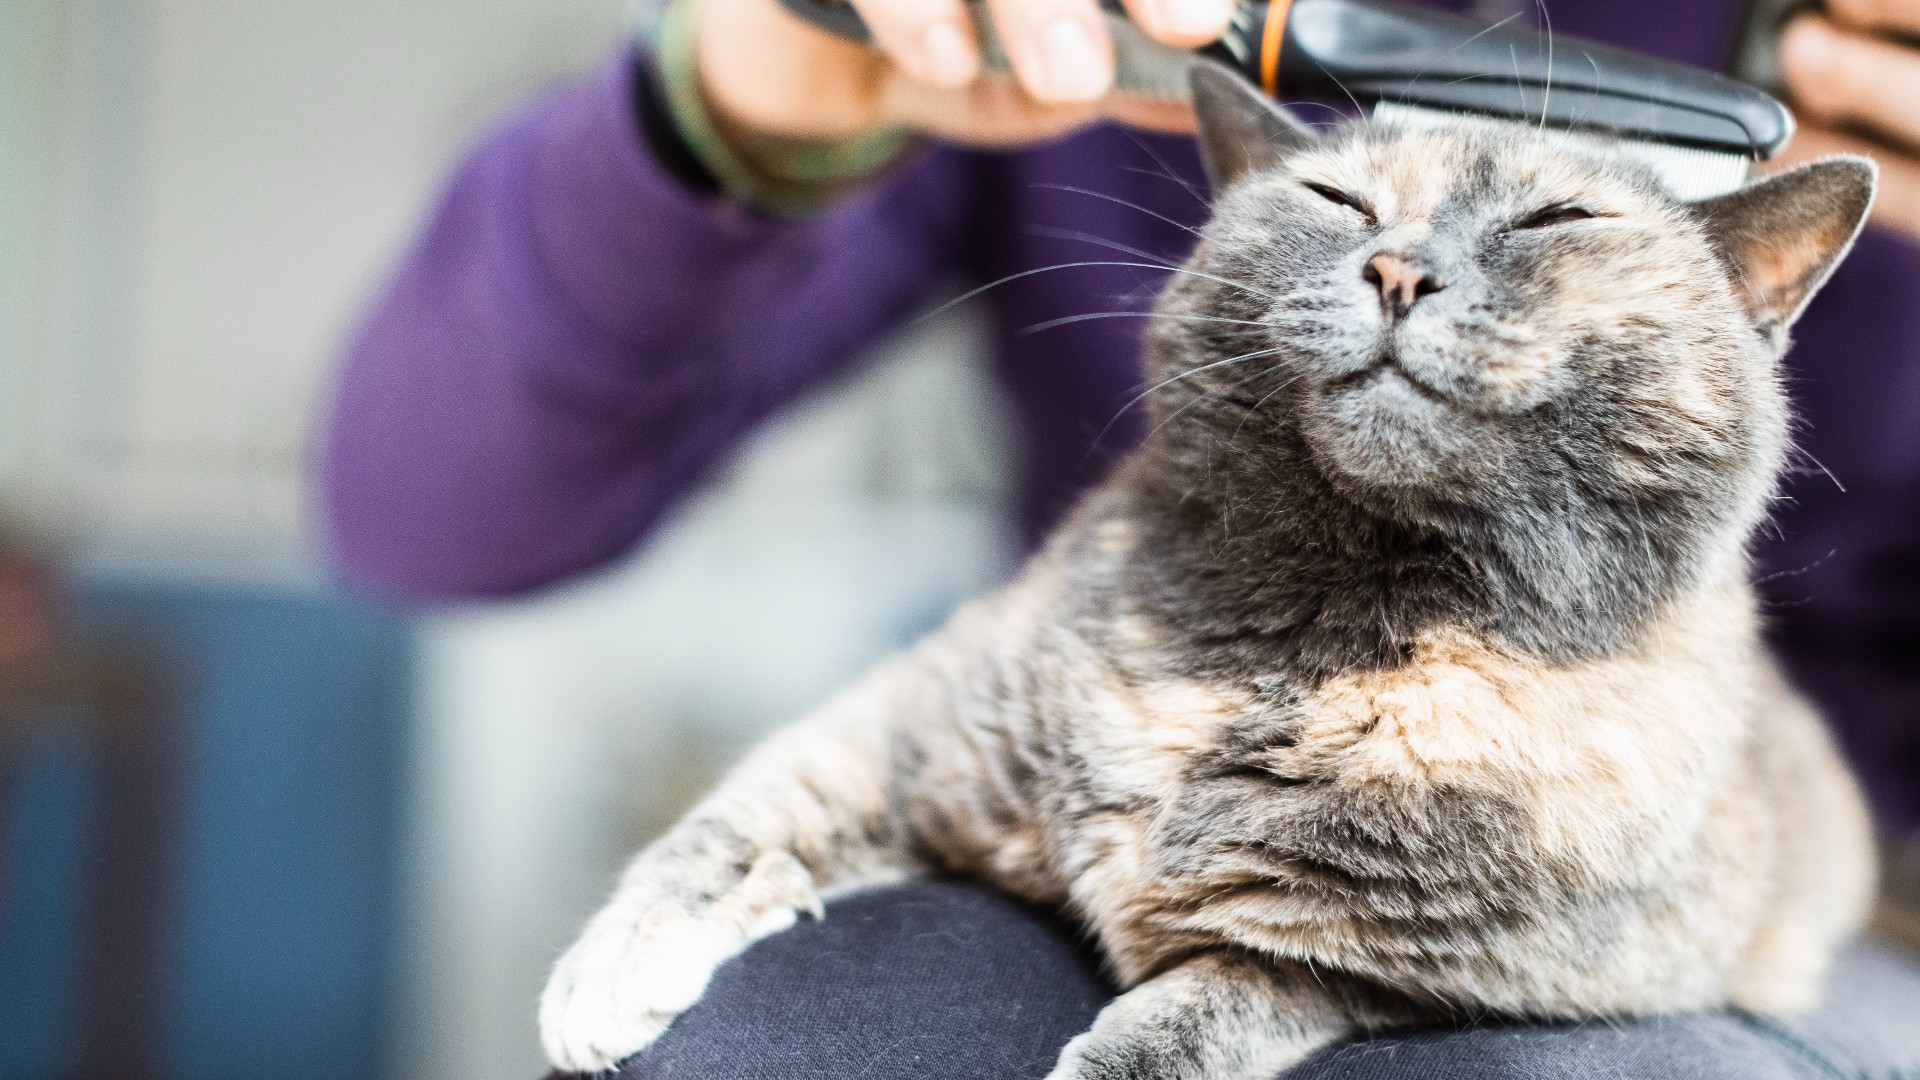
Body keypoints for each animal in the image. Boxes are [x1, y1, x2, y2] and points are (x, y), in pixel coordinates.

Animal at [537, 67, 1873, 1076]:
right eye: (1339, 199)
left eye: (1554, 223)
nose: (1399, 269)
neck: (1322, 629)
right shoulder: (911, 724)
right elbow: (734, 819)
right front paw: (608, 976)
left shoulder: (1403, 970)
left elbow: (1203, 1011)